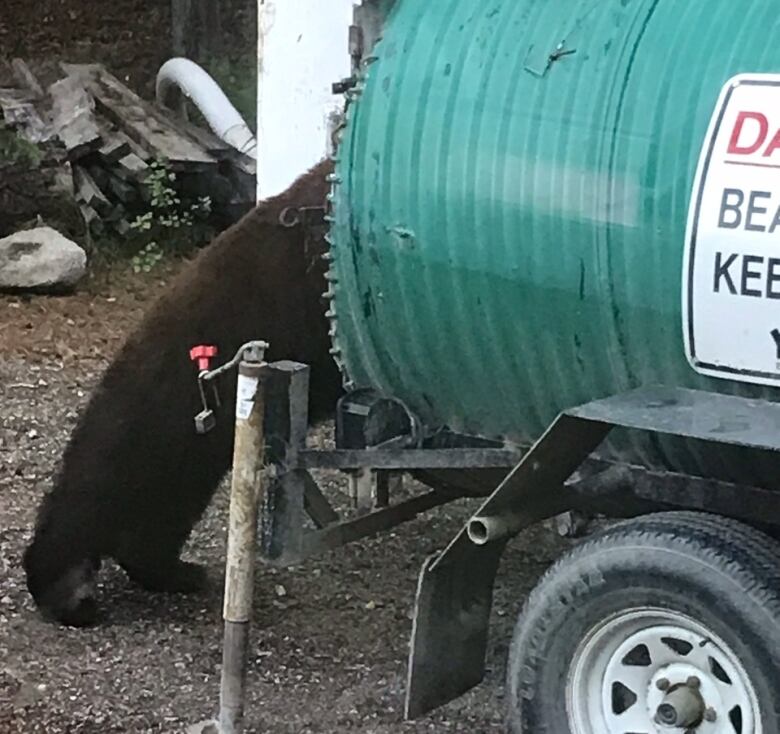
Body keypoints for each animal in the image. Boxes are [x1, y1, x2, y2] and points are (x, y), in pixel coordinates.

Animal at [24, 160, 342, 628]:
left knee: (156, 521)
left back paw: (174, 572)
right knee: (98, 489)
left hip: (191, 448)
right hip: (162, 422)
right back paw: (68, 591)